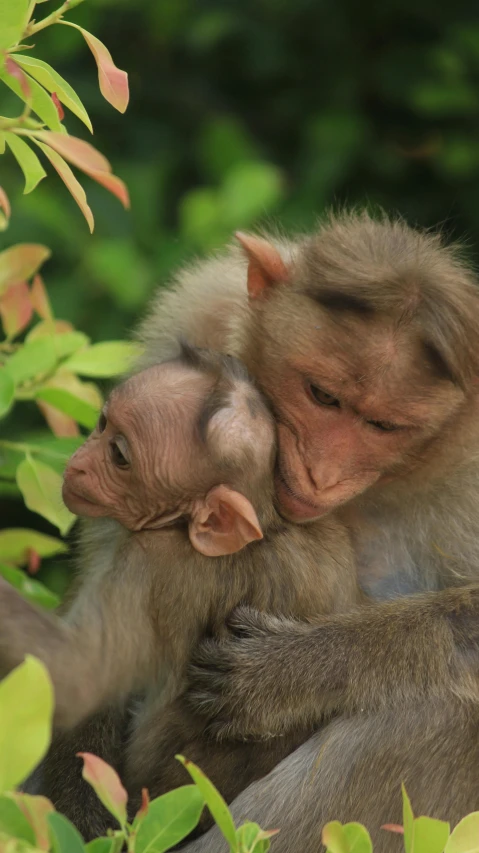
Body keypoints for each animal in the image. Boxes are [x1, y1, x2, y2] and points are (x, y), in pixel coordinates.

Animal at [6, 344, 360, 832]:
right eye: (102, 423)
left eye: (119, 455)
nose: (77, 463)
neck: (264, 528)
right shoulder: (331, 539)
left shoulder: (152, 561)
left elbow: (74, 675)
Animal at [136, 210, 479, 848]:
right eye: (322, 395)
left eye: (383, 426)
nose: (322, 472)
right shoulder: (197, 315)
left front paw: (290, 671)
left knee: (442, 710)